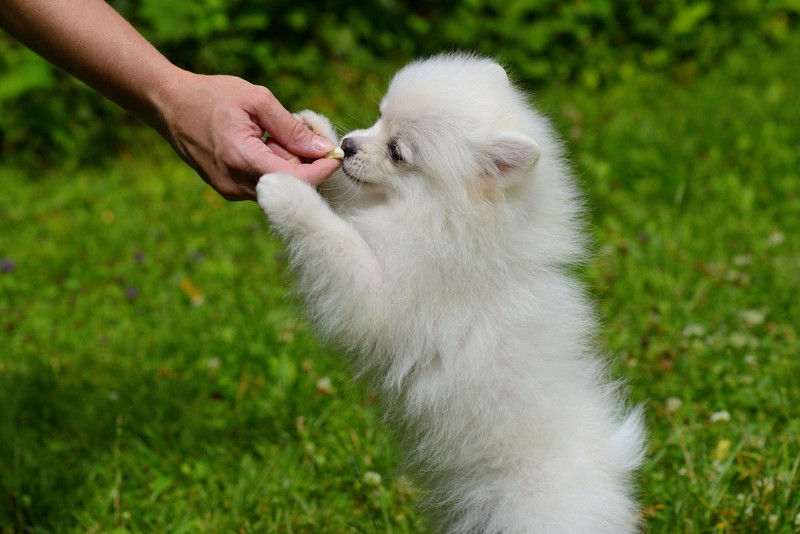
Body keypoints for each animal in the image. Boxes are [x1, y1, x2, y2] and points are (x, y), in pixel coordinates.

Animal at [256, 52, 644, 532]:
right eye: (380, 117)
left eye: (398, 152)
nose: (347, 145)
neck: (446, 219)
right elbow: (347, 197)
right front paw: (314, 132)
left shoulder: (382, 296)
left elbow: (333, 239)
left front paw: (285, 191)